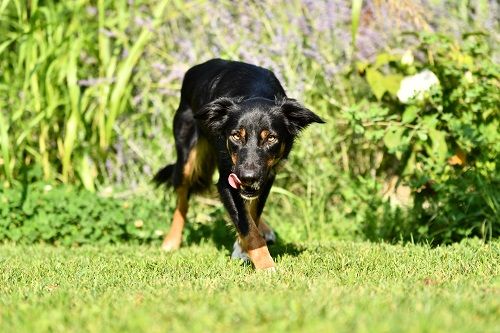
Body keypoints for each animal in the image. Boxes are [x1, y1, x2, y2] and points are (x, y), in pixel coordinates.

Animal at [153, 57, 324, 270]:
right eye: (236, 135)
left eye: (271, 138)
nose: (247, 177)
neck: (254, 91)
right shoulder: (227, 181)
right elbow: (247, 226)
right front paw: (266, 266)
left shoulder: (266, 176)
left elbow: (252, 214)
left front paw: (242, 249)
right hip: (186, 157)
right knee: (182, 200)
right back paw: (171, 241)